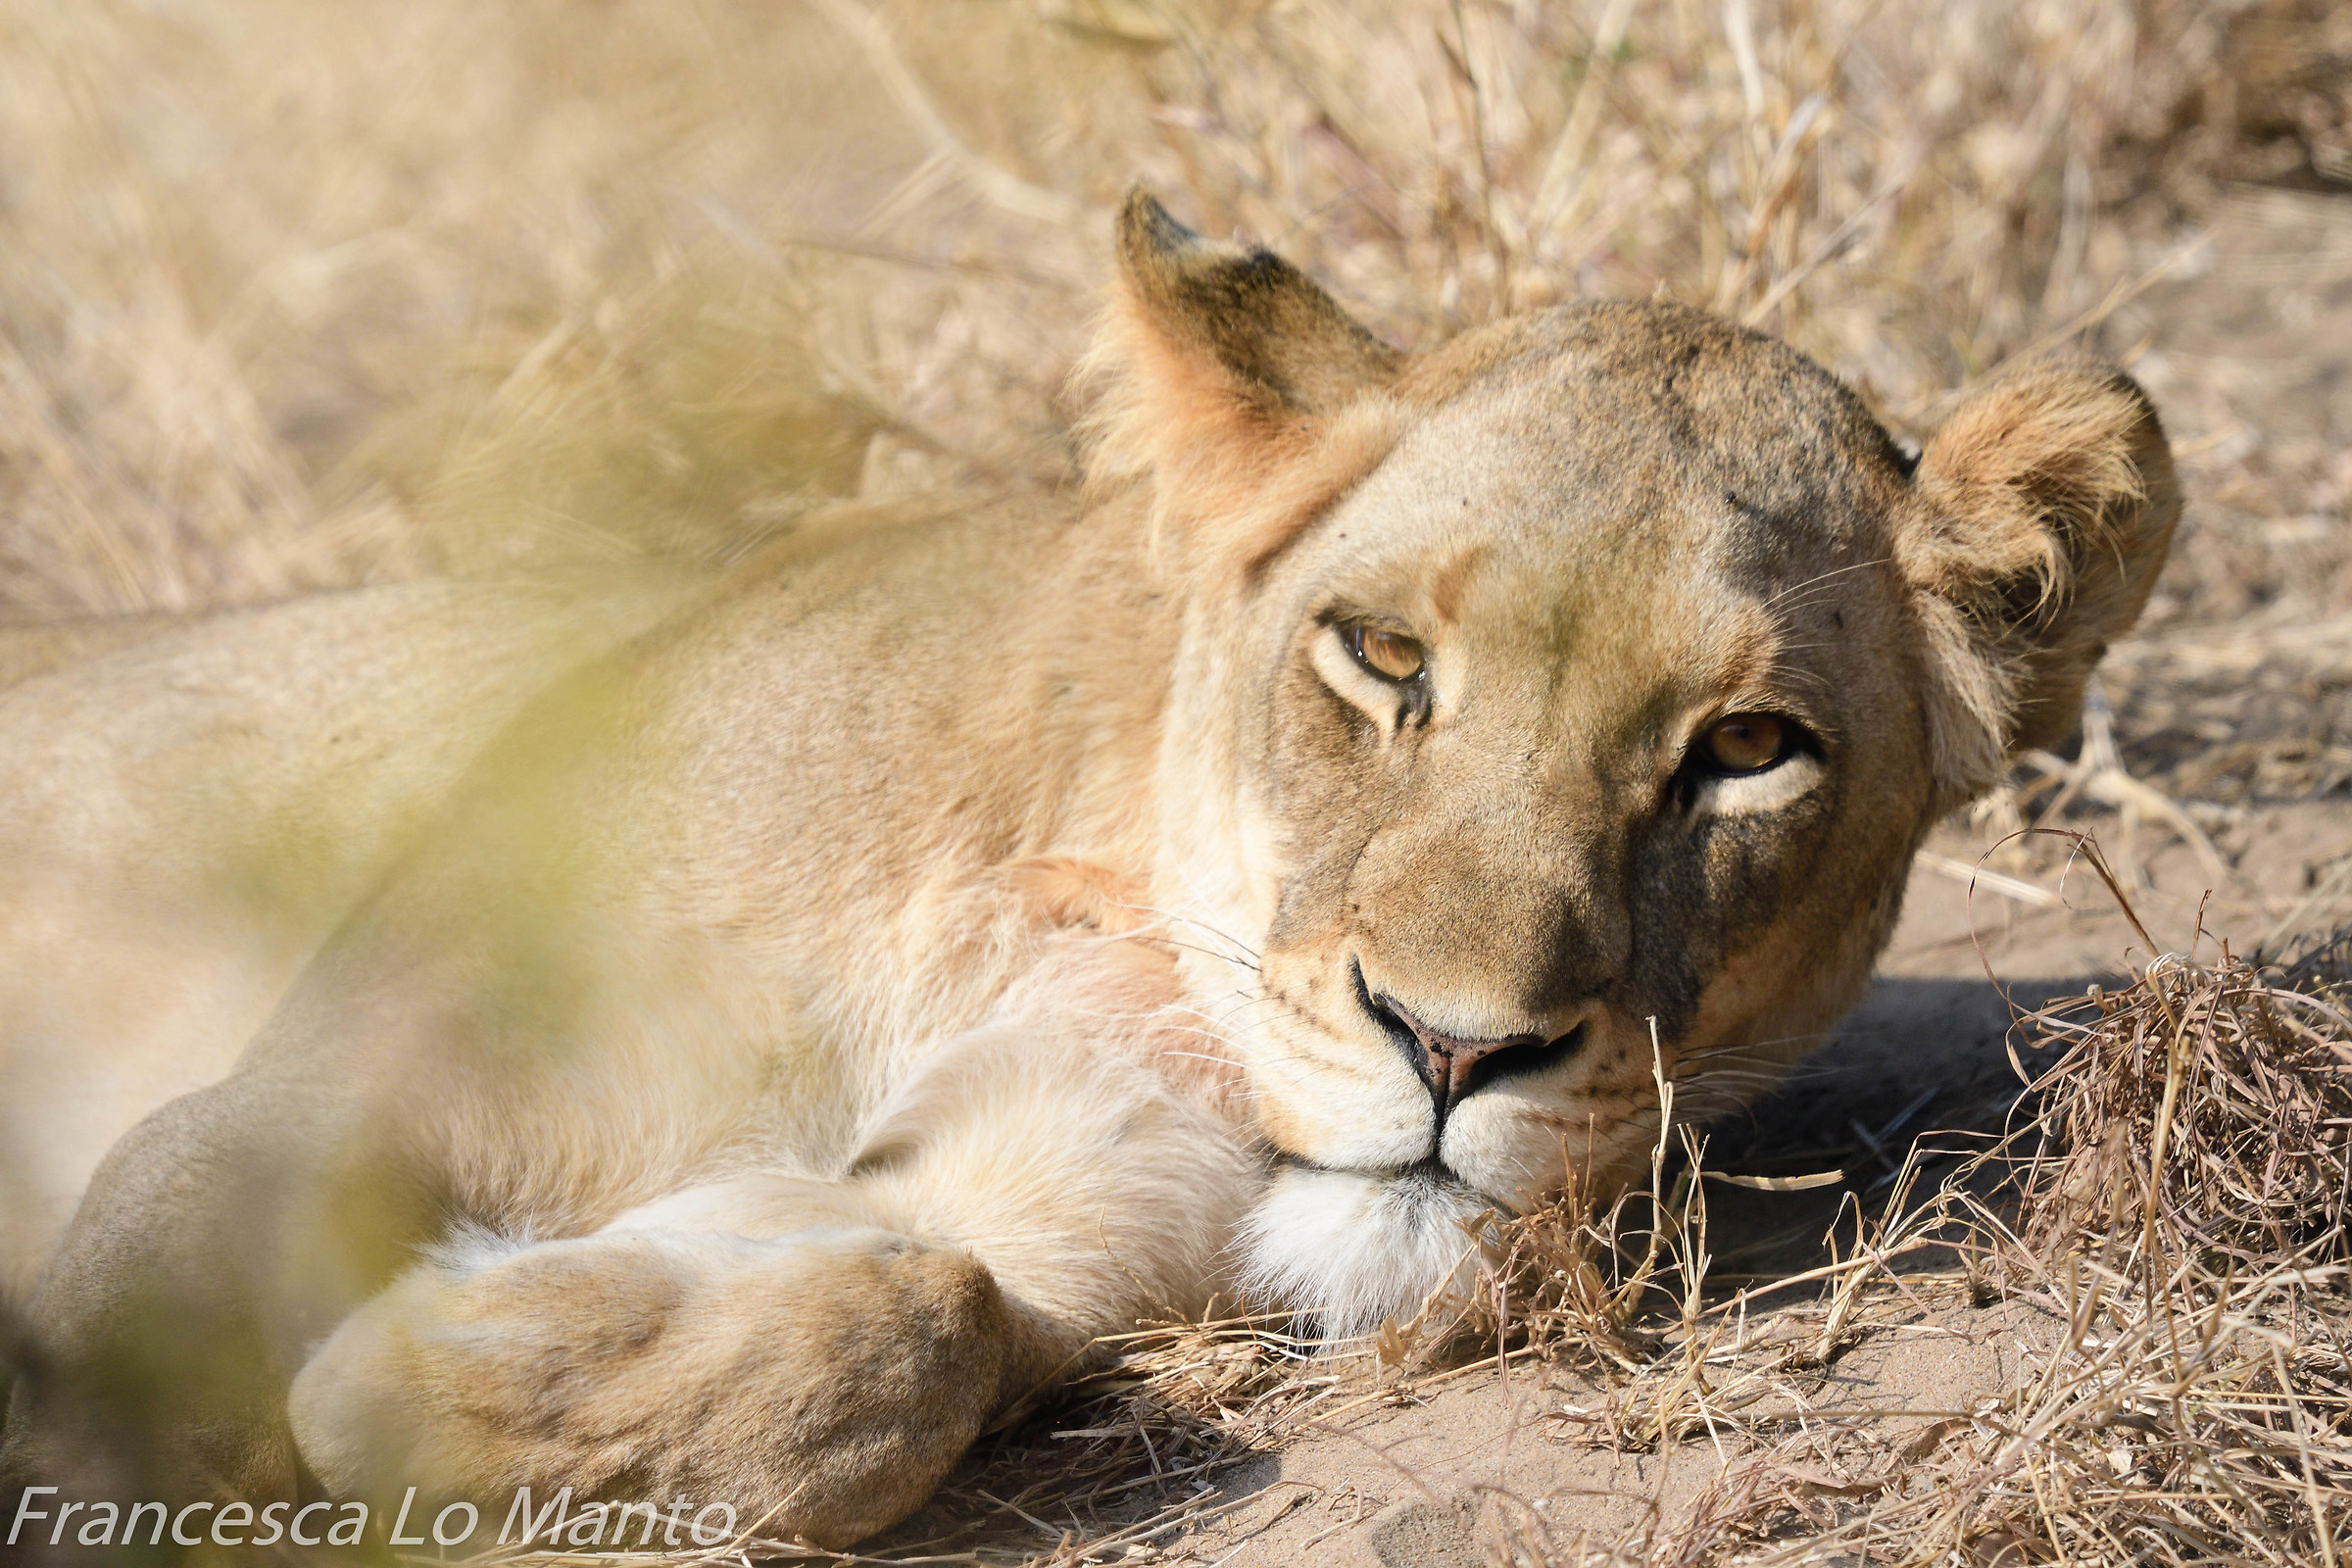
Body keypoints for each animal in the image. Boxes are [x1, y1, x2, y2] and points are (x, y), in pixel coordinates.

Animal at [0, 191, 2175, 1552]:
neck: (1080, 916)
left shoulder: (1044, 1216)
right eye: (1384, 656)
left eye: (1745, 750)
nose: (1455, 1050)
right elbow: (127, 1352)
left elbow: (908, 1319)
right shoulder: (318, 1081)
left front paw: (432, 1373)